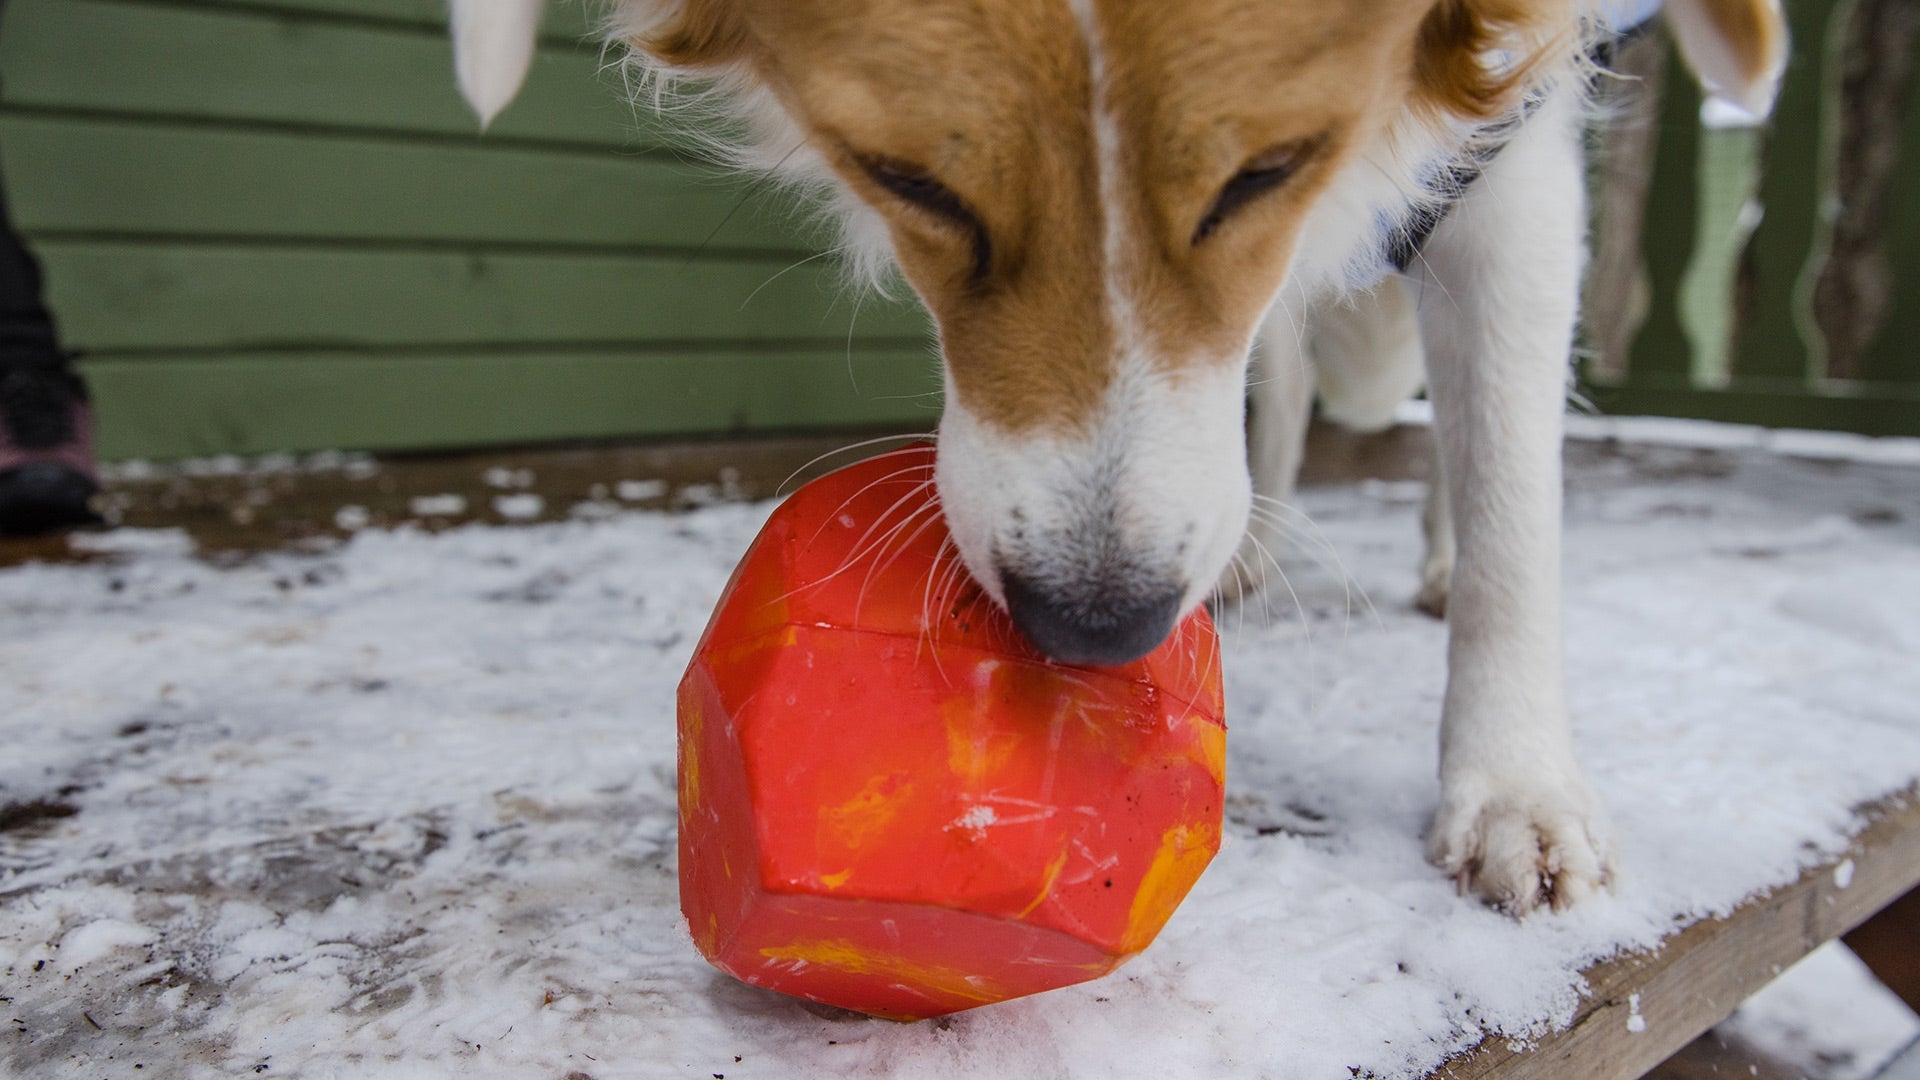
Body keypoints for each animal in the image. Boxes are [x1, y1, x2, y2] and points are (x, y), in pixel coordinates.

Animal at [449, 0, 1781, 910]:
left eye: (1269, 170)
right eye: (907, 180)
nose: (1093, 626)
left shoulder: (1513, 147)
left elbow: (1508, 484)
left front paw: (1515, 790)